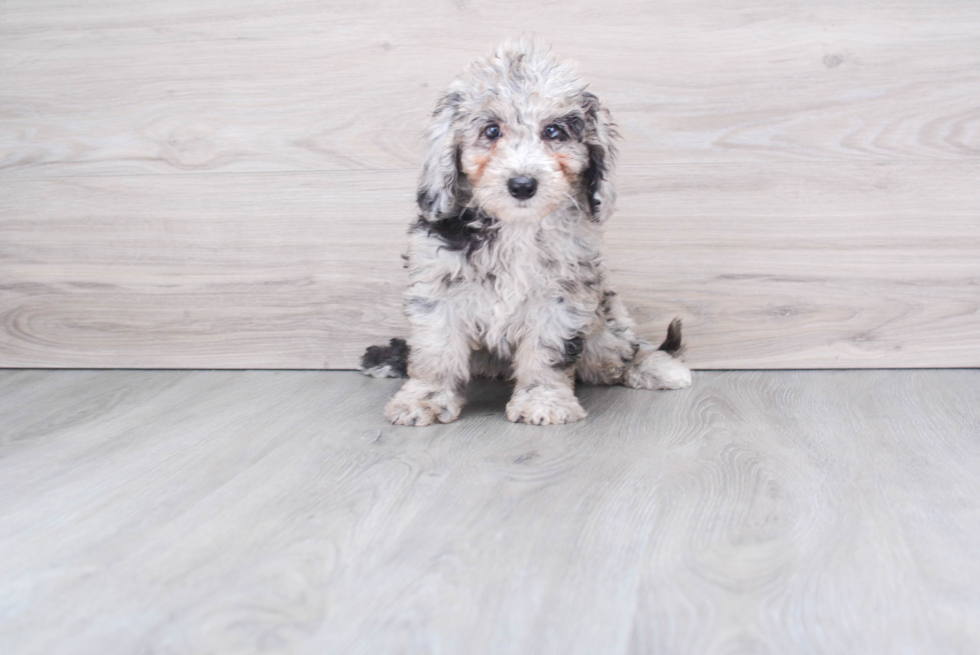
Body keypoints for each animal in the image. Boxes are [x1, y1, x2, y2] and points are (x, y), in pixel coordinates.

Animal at [360, 38, 688, 426]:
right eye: (491, 130)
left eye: (553, 132)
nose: (522, 185)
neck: (516, 228)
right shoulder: (439, 291)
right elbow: (435, 351)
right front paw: (425, 398)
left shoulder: (561, 297)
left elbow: (547, 353)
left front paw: (543, 400)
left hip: (604, 322)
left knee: (622, 351)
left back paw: (656, 367)